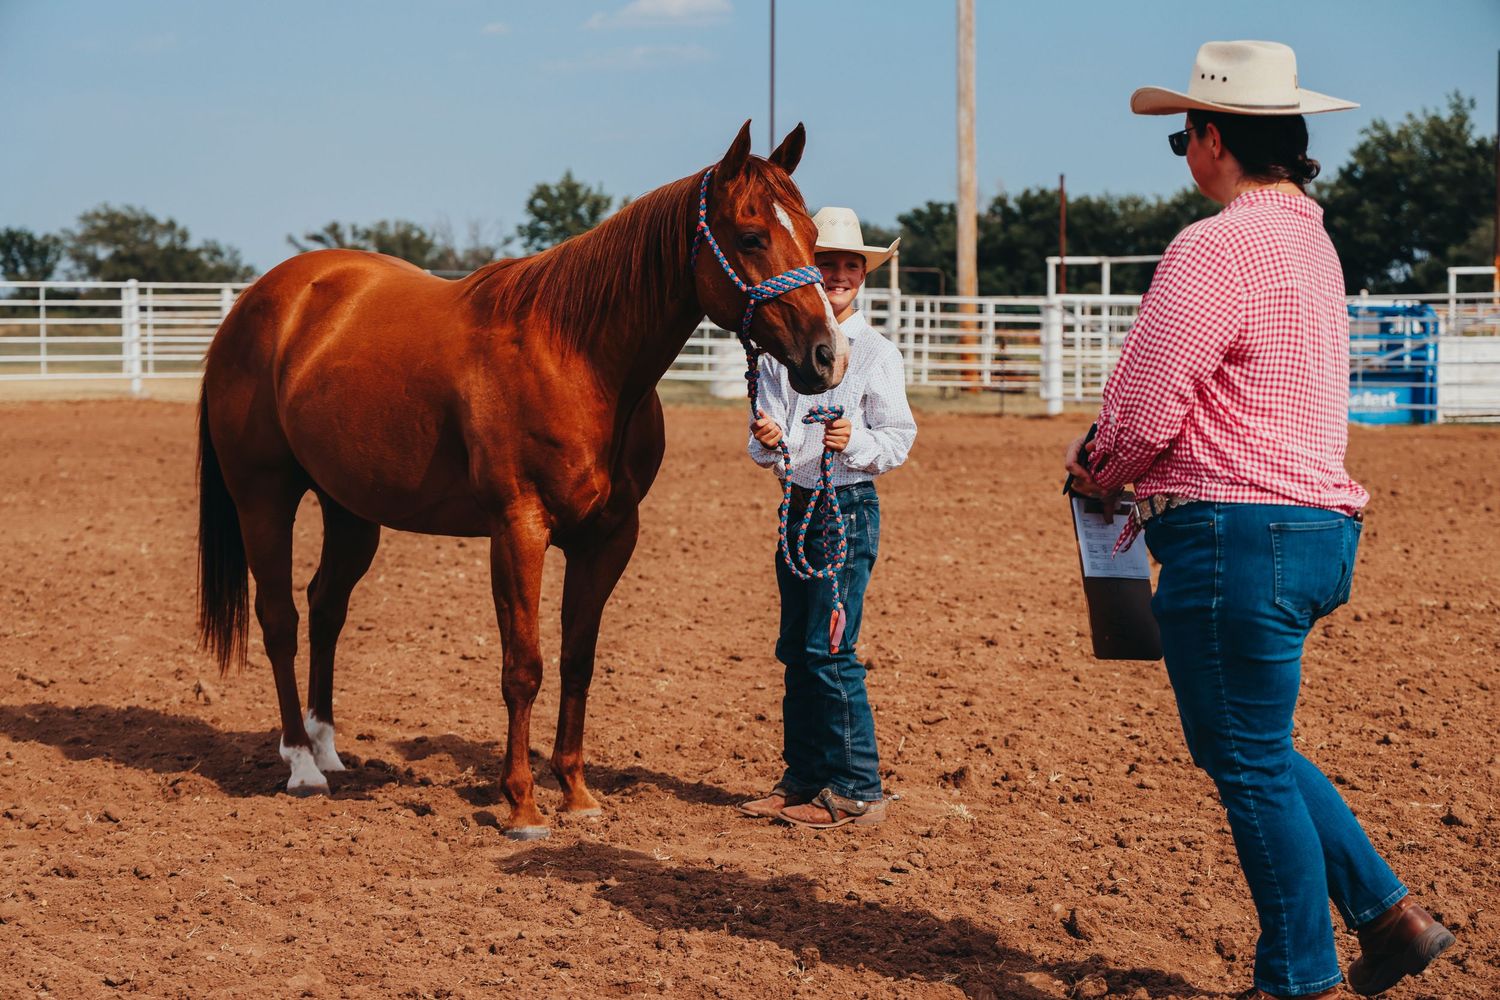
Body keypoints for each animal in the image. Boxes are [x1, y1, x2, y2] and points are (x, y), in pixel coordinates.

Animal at [195, 122, 848, 838]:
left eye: (812, 237)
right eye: (752, 235)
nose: (827, 357)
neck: (575, 355)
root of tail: (260, 302)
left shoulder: (609, 538)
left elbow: (577, 660)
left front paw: (577, 793)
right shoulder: (518, 529)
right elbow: (523, 666)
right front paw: (522, 805)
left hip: (350, 508)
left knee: (325, 607)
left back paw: (327, 748)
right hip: (263, 495)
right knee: (279, 616)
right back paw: (301, 765)